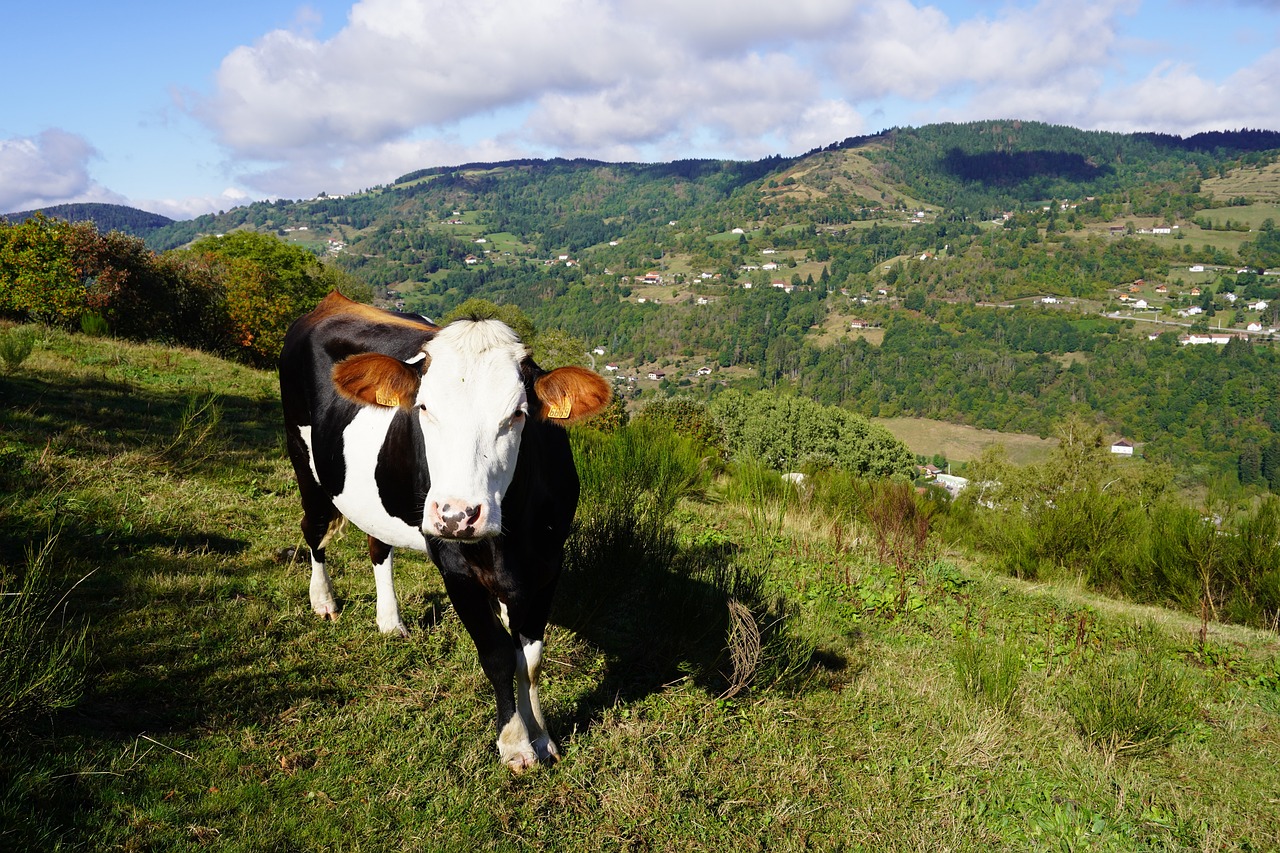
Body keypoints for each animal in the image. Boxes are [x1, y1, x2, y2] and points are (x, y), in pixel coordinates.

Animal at [279, 289, 614, 768]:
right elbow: (497, 655)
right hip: (303, 460)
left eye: (518, 414)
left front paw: (542, 736)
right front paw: (515, 744)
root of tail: (333, 301)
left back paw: (390, 621)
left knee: (378, 546)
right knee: (314, 530)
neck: (510, 543)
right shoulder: (455, 566)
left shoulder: (549, 563)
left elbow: (529, 660)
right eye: (424, 408)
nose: (458, 514)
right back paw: (323, 601)